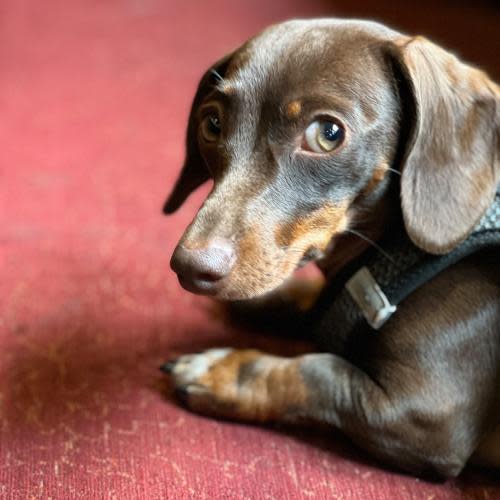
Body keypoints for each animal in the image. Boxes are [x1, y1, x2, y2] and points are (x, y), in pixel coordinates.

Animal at [161, 19, 500, 478]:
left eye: (328, 134)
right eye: (212, 123)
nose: (189, 267)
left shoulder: (427, 418)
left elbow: (318, 371)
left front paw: (223, 373)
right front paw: (272, 300)